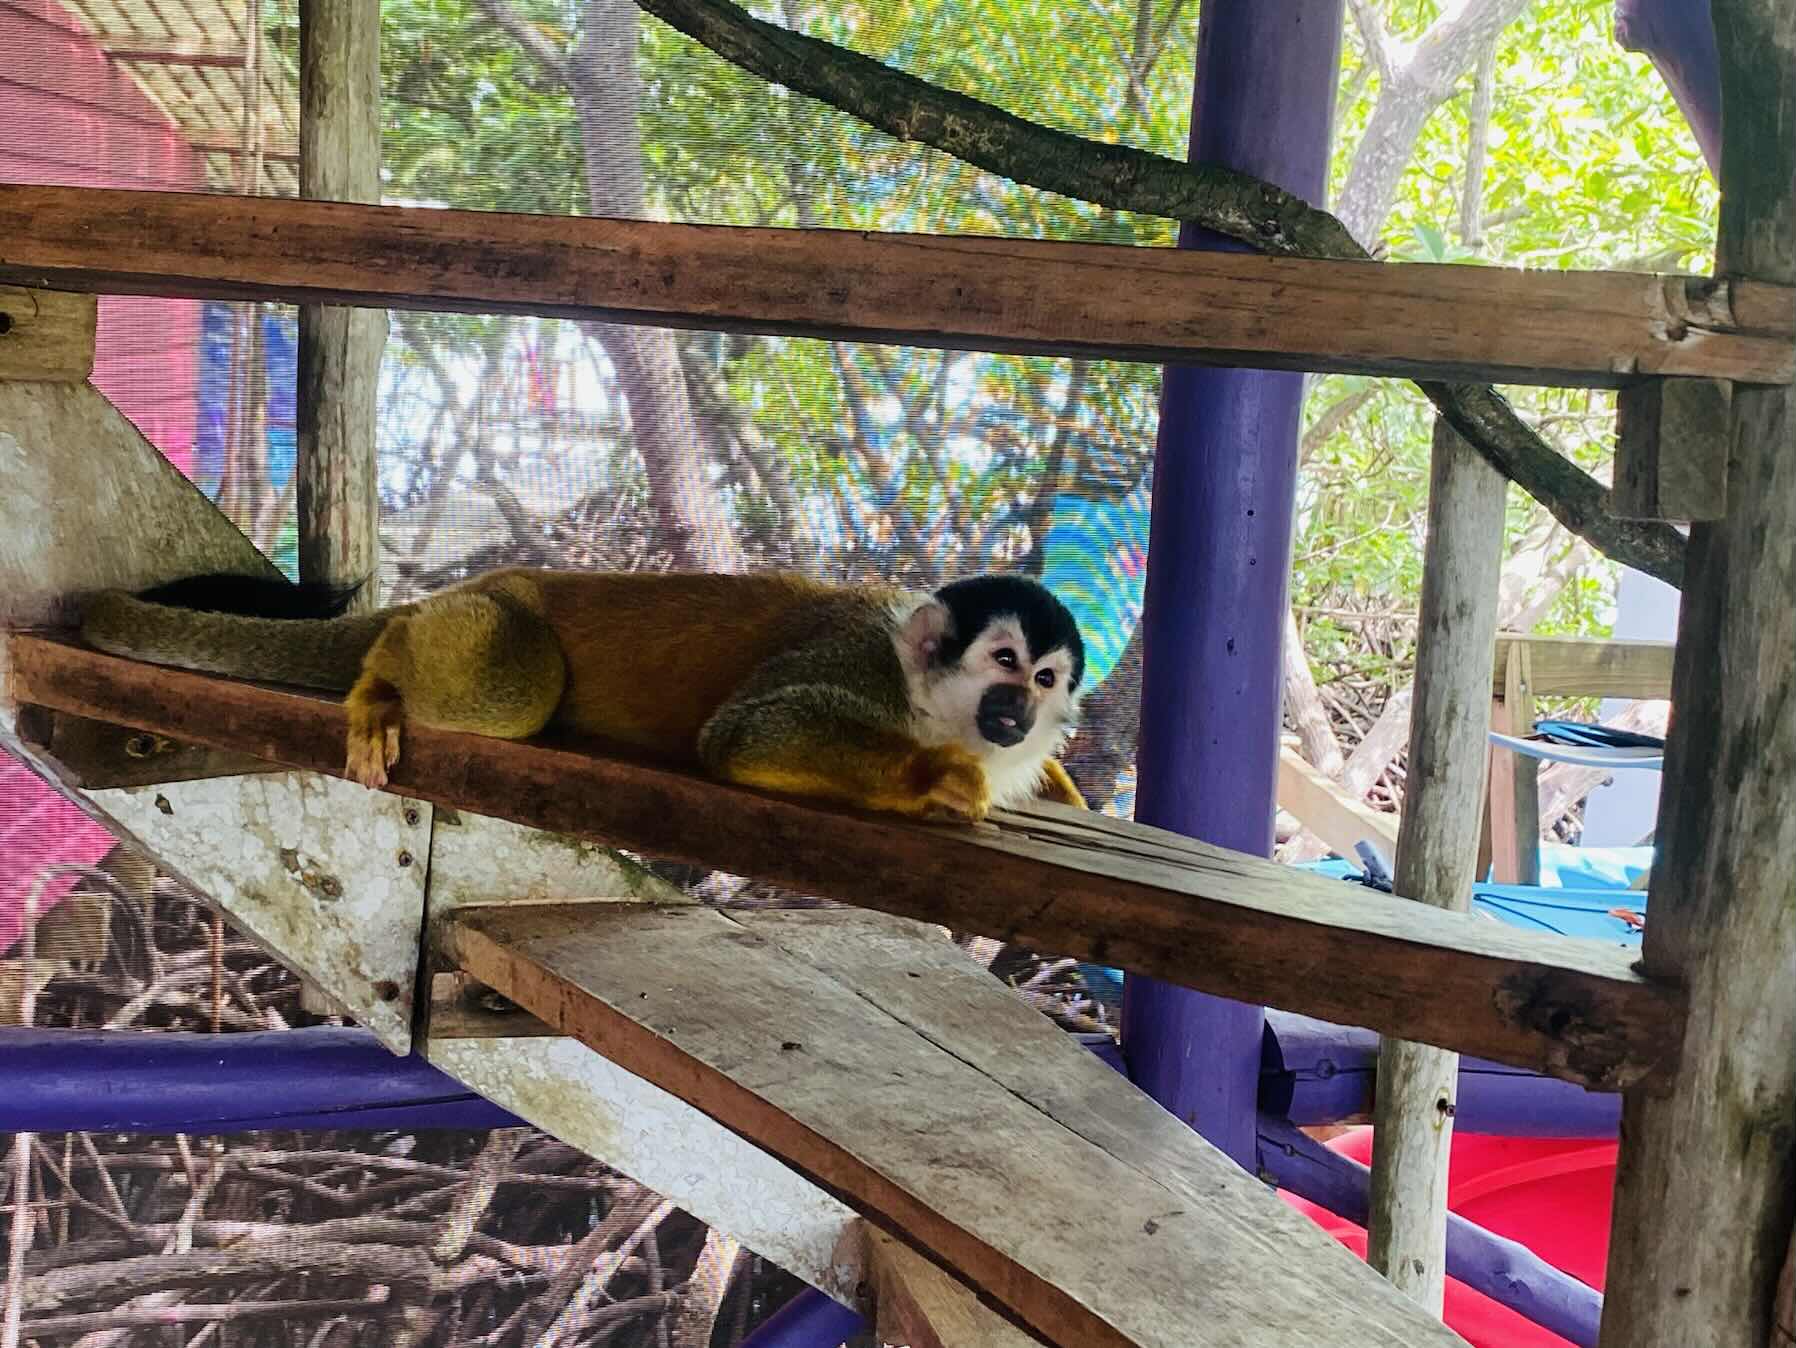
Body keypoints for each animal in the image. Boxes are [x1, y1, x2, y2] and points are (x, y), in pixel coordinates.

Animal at [80, 568, 1089, 824]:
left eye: (1045, 680)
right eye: (1002, 662)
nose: (1018, 714)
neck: (921, 695)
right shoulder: (855, 661)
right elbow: (746, 736)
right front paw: (937, 777)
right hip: (495, 621)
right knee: (513, 692)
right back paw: (381, 677)